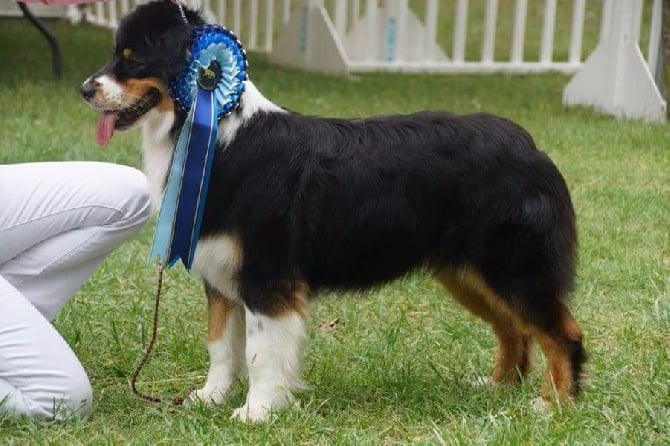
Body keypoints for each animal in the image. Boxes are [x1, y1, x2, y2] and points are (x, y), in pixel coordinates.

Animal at [81, 1, 588, 424]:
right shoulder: (221, 273)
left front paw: (257, 412)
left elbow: (261, 351)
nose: (85, 89)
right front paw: (211, 398)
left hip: (513, 265)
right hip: (467, 272)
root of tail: (530, 146)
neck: (216, 134)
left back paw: (554, 406)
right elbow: (221, 346)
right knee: (514, 329)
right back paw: (499, 386)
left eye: (133, 59)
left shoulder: (268, 275)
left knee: (561, 332)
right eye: (114, 54)